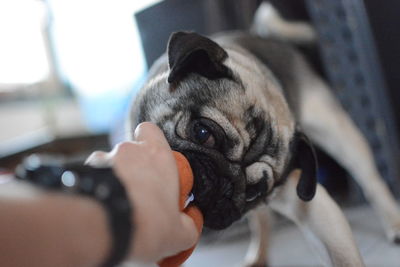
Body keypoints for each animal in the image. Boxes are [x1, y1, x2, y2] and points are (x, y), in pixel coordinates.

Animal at [127, 3, 400, 266]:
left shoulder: (315, 208)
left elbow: (342, 254)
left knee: (371, 181)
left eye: (254, 193)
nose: (223, 185)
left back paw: (394, 223)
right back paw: (258, 256)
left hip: (341, 136)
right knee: (263, 220)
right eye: (203, 133)